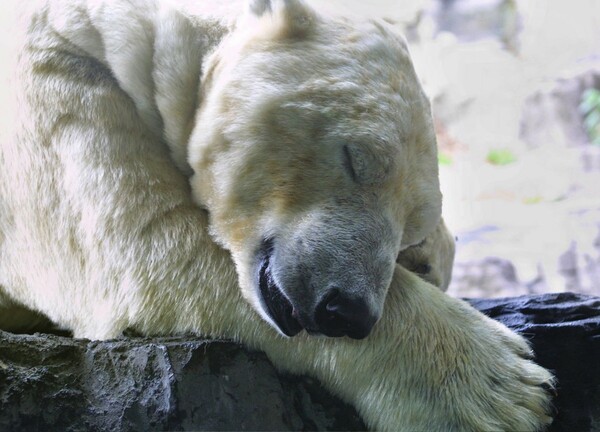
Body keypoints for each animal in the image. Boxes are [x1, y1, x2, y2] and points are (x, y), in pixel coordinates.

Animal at [0, 0, 552, 430]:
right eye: (356, 159)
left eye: (409, 228)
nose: (347, 310)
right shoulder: (55, 80)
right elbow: (146, 245)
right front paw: (502, 391)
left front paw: (430, 260)